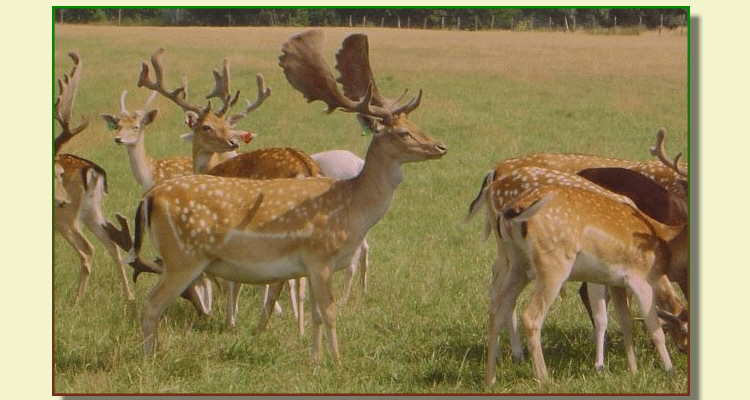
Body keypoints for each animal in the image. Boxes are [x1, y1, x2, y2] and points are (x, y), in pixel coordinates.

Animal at [54, 52, 135, 302]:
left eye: (60, 174)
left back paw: (77, 299)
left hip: (68, 217)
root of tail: (93, 171)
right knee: (112, 244)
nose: (63, 200)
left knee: (88, 249)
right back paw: (129, 296)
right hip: (92, 209)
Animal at [125, 29, 445, 360]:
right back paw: (149, 359)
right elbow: (330, 313)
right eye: (402, 133)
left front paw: (316, 359)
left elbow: (317, 314)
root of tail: (148, 198)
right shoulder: (319, 256)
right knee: (151, 305)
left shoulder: (313, 265)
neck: (352, 210)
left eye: (413, 123)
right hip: (183, 257)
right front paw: (338, 361)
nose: (440, 147)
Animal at [481, 160, 687, 383]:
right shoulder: (635, 279)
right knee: (529, 315)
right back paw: (543, 378)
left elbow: (625, 320)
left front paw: (633, 371)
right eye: (685, 329)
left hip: (518, 265)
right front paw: (669, 371)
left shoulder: (615, 282)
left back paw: (491, 378)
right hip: (551, 266)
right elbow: (649, 325)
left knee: (496, 308)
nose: (684, 350)